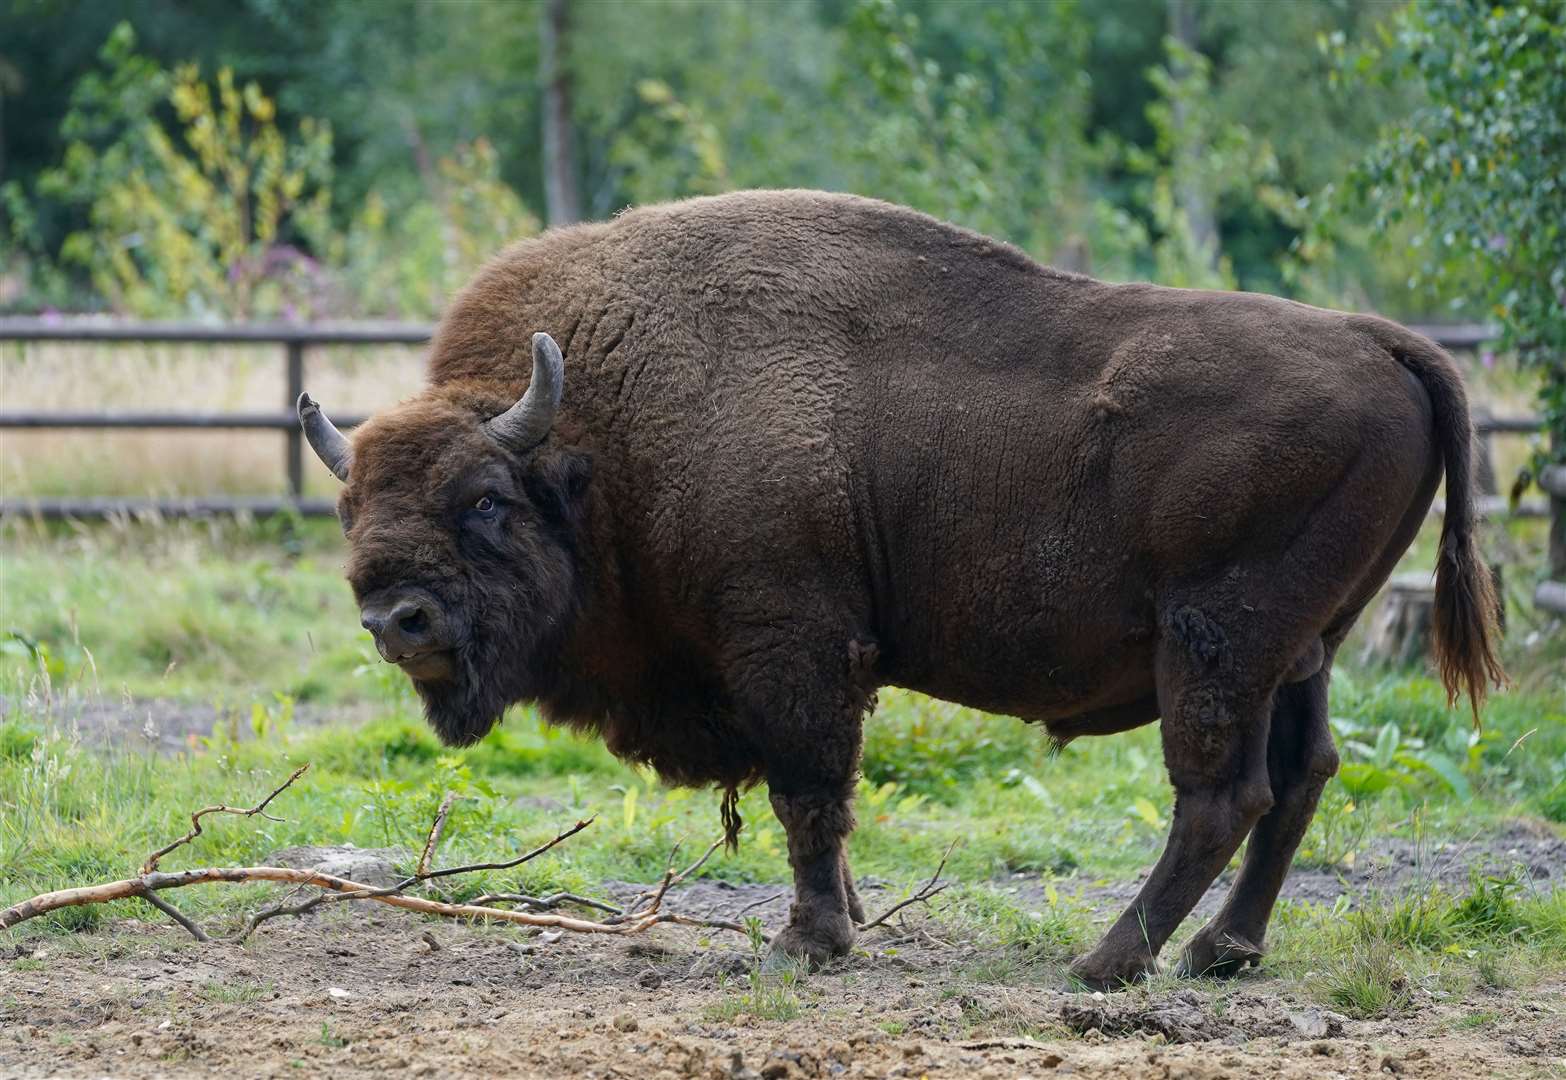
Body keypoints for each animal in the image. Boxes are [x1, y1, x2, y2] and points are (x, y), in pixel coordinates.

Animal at [295, 187, 1503, 982]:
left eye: (485, 500)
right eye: (351, 509)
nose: (396, 617)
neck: (599, 441)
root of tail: (1380, 340)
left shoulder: (792, 646)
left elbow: (808, 791)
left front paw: (807, 944)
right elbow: (821, 807)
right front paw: (845, 921)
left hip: (1216, 643)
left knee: (1223, 795)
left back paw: (1106, 965)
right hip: (1306, 648)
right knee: (1301, 778)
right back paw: (1222, 952)